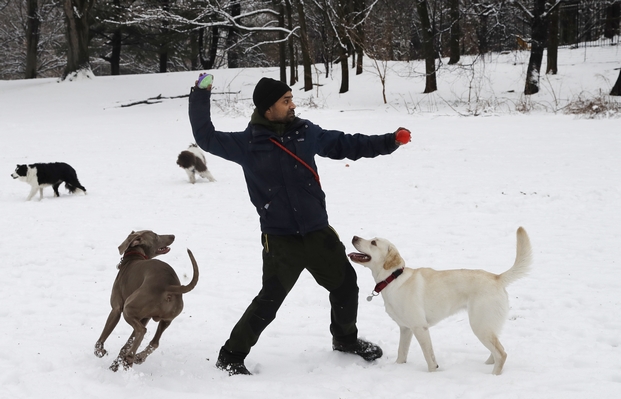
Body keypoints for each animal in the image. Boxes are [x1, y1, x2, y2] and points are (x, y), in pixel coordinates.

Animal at [94, 230, 199, 374]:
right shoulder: (144, 317)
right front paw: (115, 364)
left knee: (142, 331)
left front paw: (99, 351)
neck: (133, 258)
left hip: (128, 308)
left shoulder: (116, 309)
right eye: (155, 235)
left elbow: (103, 336)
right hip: (167, 319)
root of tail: (168, 285)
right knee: (154, 342)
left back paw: (130, 358)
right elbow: (127, 344)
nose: (173, 236)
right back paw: (136, 357)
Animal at [348, 228, 532, 376]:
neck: (393, 278)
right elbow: (401, 353)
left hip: (480, 325)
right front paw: (398, 367)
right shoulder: (406, 328)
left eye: (373, 242)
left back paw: (493, 376)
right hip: (488, 325)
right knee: (497, 349)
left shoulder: (420, 328)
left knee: (502, 353)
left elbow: (429, 358)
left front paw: (432, 374)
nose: (354, 236)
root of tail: (497, 278)